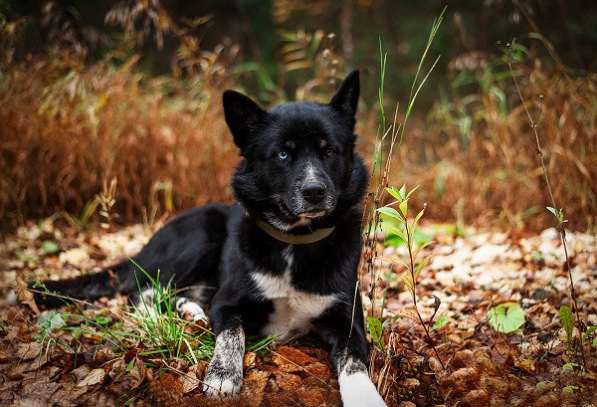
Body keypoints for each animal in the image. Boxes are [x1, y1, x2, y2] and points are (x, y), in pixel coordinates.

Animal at [32, 71, 386, 406]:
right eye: (283, 155)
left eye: (329, 151)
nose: (315, 192)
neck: (295, 242)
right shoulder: (227, 304)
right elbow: (231, 335)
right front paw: (223, 375)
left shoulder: (348, 323)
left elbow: (354, 364)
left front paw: (366, 398)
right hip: (202, 234)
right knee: (142, 291)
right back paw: (160, 316)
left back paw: (191, 311)